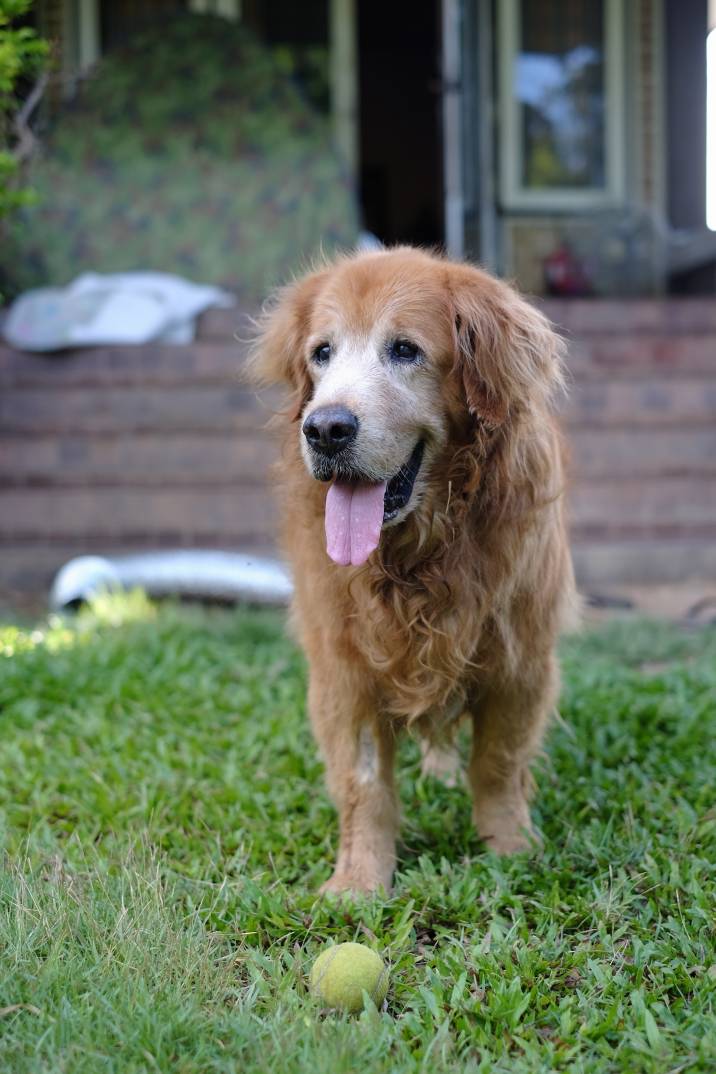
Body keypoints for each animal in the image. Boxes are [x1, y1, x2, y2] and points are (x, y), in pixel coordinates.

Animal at [251, 247, 575, 893]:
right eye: (321, 353)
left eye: (405, 349)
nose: (324, 429)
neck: (417, 560)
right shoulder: (343, 667)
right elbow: (363, 784)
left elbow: (498, 764)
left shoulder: (521, 659)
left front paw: (510, 850)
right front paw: (358, 881)